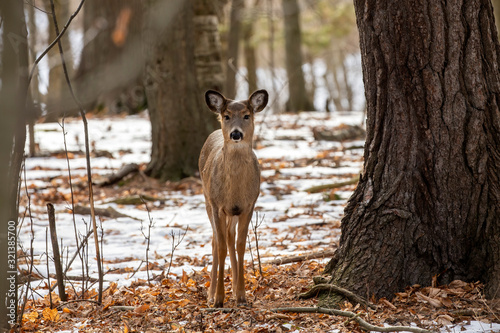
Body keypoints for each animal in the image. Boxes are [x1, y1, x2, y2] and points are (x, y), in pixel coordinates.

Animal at [199, 89, 270, 306]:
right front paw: (218, 298)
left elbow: (240, 245)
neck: (235, 191)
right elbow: (220, 247)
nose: (236, 133)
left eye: (247, 115)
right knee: (215, 241)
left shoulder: (249, 205)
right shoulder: (216, 205)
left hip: (232, 212)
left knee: (230, 237)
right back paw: (211, 294)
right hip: (206, 198)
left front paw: (241, 295)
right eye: (226, 116)